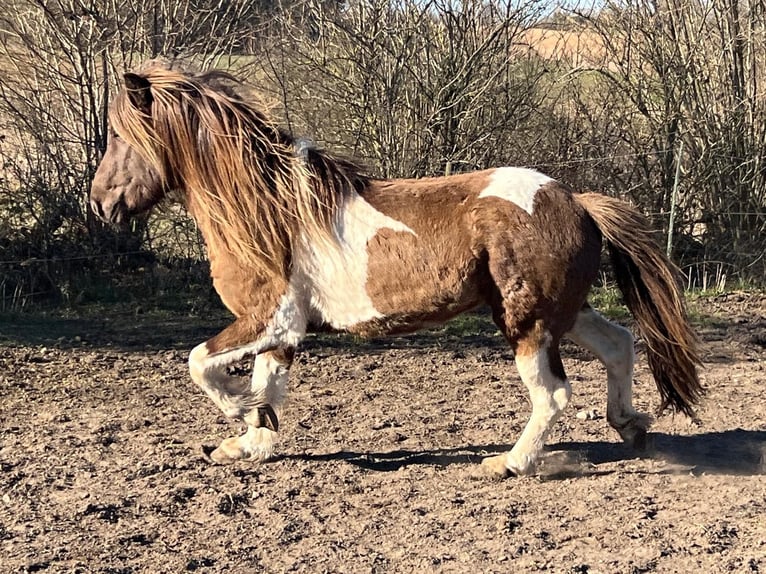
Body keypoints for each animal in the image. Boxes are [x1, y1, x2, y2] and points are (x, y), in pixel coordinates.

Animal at [89, 62, 703, 478]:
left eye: (120, 136)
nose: (100, 202)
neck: (270, 209)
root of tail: (575, 201)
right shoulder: (282, 330)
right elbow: (268, 380)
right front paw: (249, 442)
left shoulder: (270, 317)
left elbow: (200, 364)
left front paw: (243, 413)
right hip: (561, 313)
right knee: (620, 344)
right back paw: (631, 427)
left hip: (527, 322)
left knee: (551, 394)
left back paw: (509, 462)